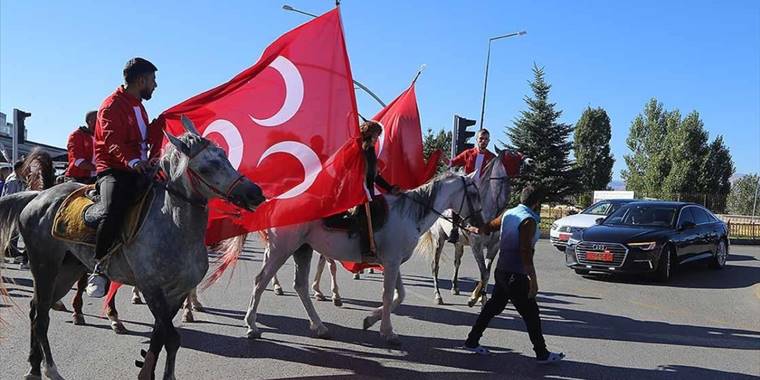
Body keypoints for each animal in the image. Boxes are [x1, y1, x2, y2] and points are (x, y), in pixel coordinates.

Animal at [0, 115, 264, 380]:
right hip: (44, 266)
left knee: (37, 309)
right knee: (41, 315)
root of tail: (38, 196)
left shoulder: (177, 292)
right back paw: (46, 368)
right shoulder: (151, 288)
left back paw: (37, 366)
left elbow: (160, 337)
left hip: (68, 270)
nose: (255, 193)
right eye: (206, 168)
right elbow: (171, 338)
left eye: (225, 156)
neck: (175, 226)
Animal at [223, 171, 484, 346]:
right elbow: (388, 295)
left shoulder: (393, 263)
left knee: (300, 286)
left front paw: (370, 320)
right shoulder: (391, 263)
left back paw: (319, 327)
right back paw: (252, 326)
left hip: (301, 250)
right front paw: (387, 332)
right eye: (473, 193)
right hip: (282, 250)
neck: (409, 213)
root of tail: (275, 200)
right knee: (261, 282)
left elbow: (400, 295)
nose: (480, 224)